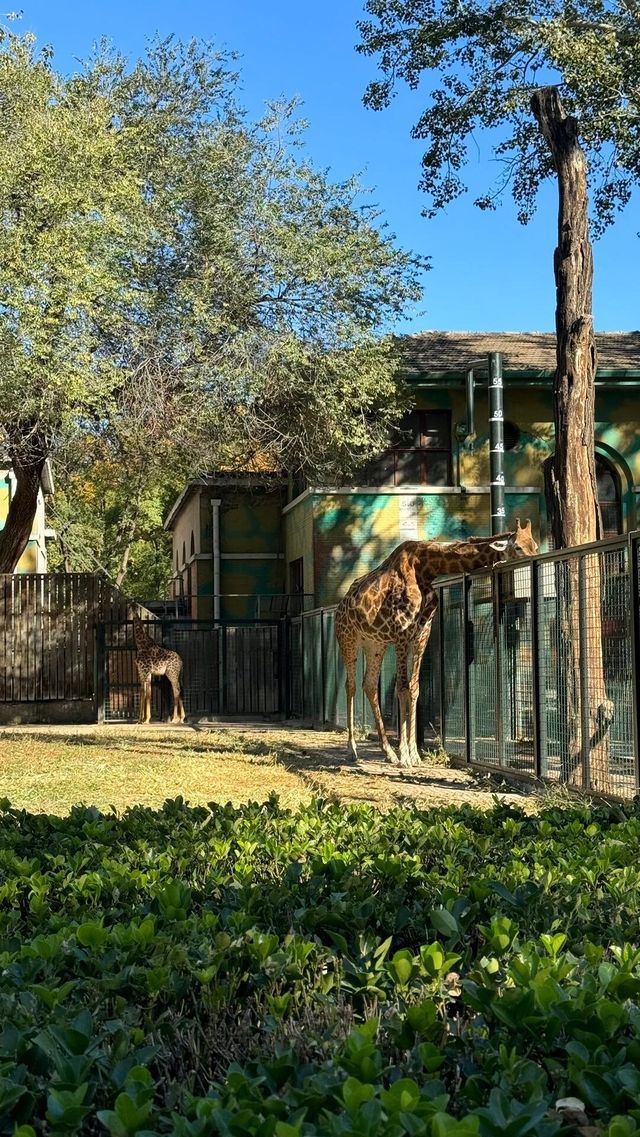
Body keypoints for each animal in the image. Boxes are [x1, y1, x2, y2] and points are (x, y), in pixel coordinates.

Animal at [338, 520, 538, 764]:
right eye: (518, 547)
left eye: (535, 545)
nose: (535, 559)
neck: (427, 569)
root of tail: (342, 603)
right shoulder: (402, 633)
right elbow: (402, 688)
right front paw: (405, 755)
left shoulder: (421, 633)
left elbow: (414, 688)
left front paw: (413, 754)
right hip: (348, 637)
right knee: (351, 685)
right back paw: (352, 750)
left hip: (375, 644)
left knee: (369, 684)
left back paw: (388, 752)